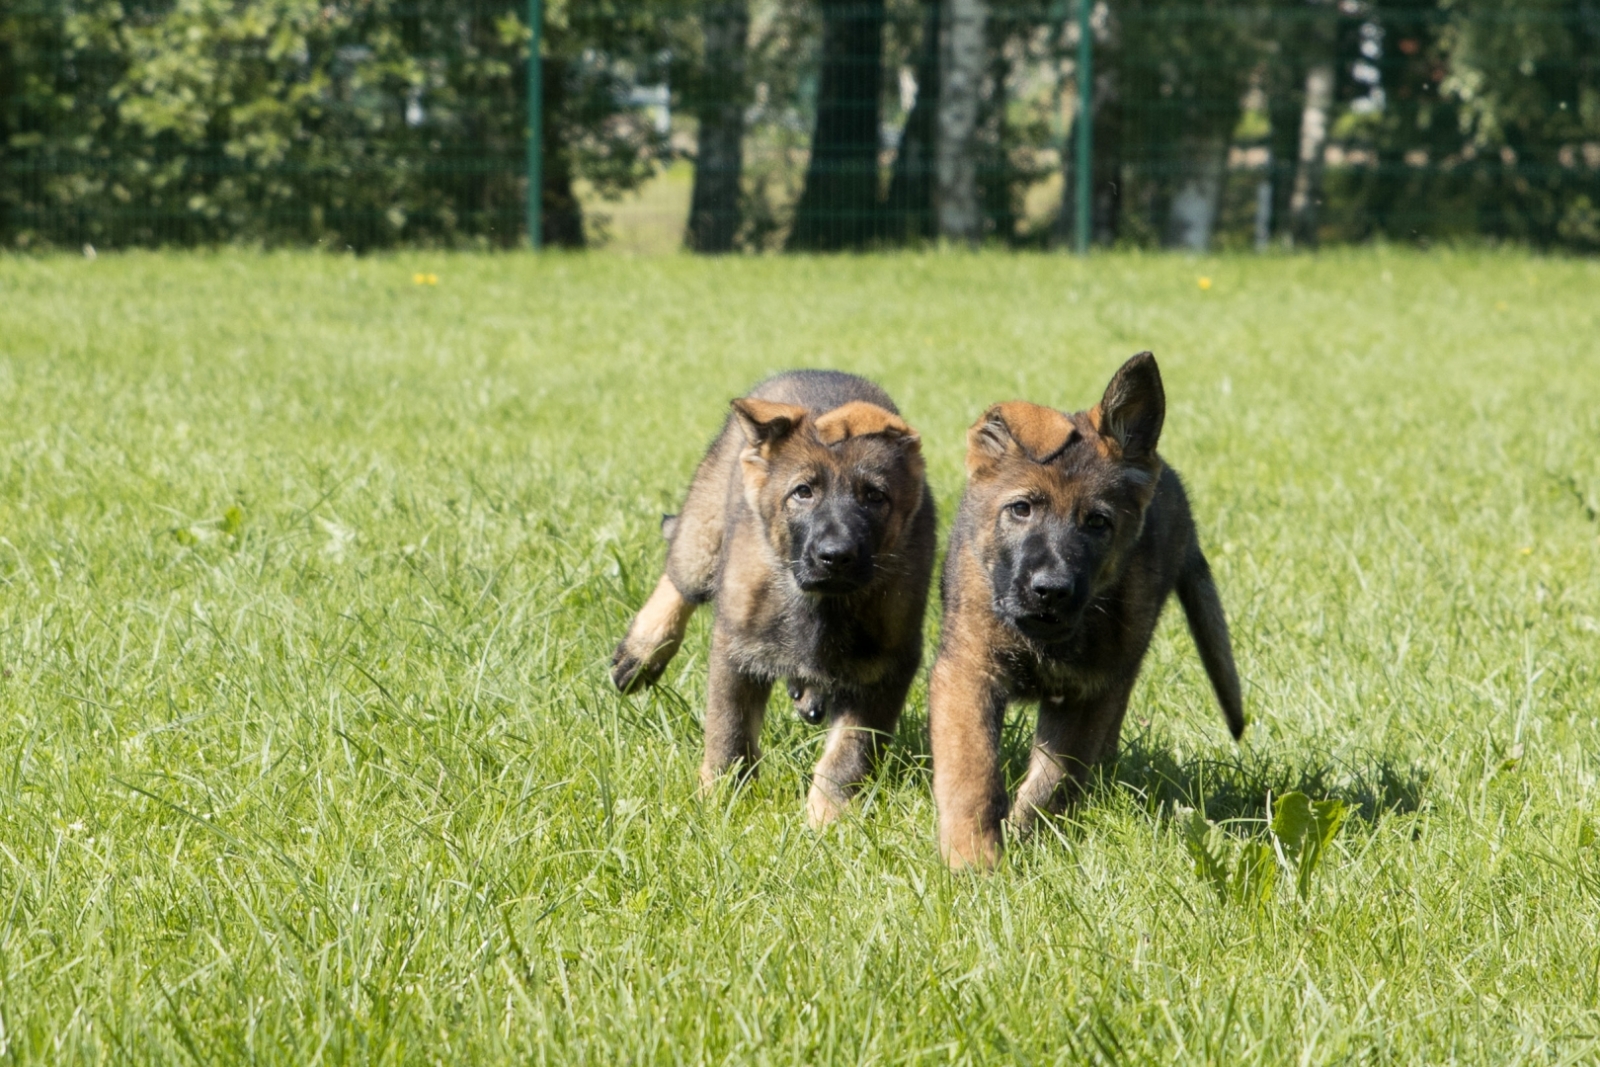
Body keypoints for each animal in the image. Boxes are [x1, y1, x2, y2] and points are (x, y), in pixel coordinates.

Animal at [611, 371, 934, 831]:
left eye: (875, 497)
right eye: (802, 492)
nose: (835, 556)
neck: (820, 605)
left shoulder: (887, 668)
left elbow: (848, 754)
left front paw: (826, 819)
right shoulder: (737, 651)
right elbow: (729, 736)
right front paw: (722, 804)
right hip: (705, 532)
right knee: (680, 573)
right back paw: (640, 653)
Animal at [928, 351, 1248, 870]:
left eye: (1097, 523)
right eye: (1021, 509)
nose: (1050, 591)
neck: (1041, 639)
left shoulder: (1088, 693)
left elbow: (1052, 782)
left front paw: (1025, 837)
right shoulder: (967, 673)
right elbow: (971, 776)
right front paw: (975, 863)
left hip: (1123, 668)